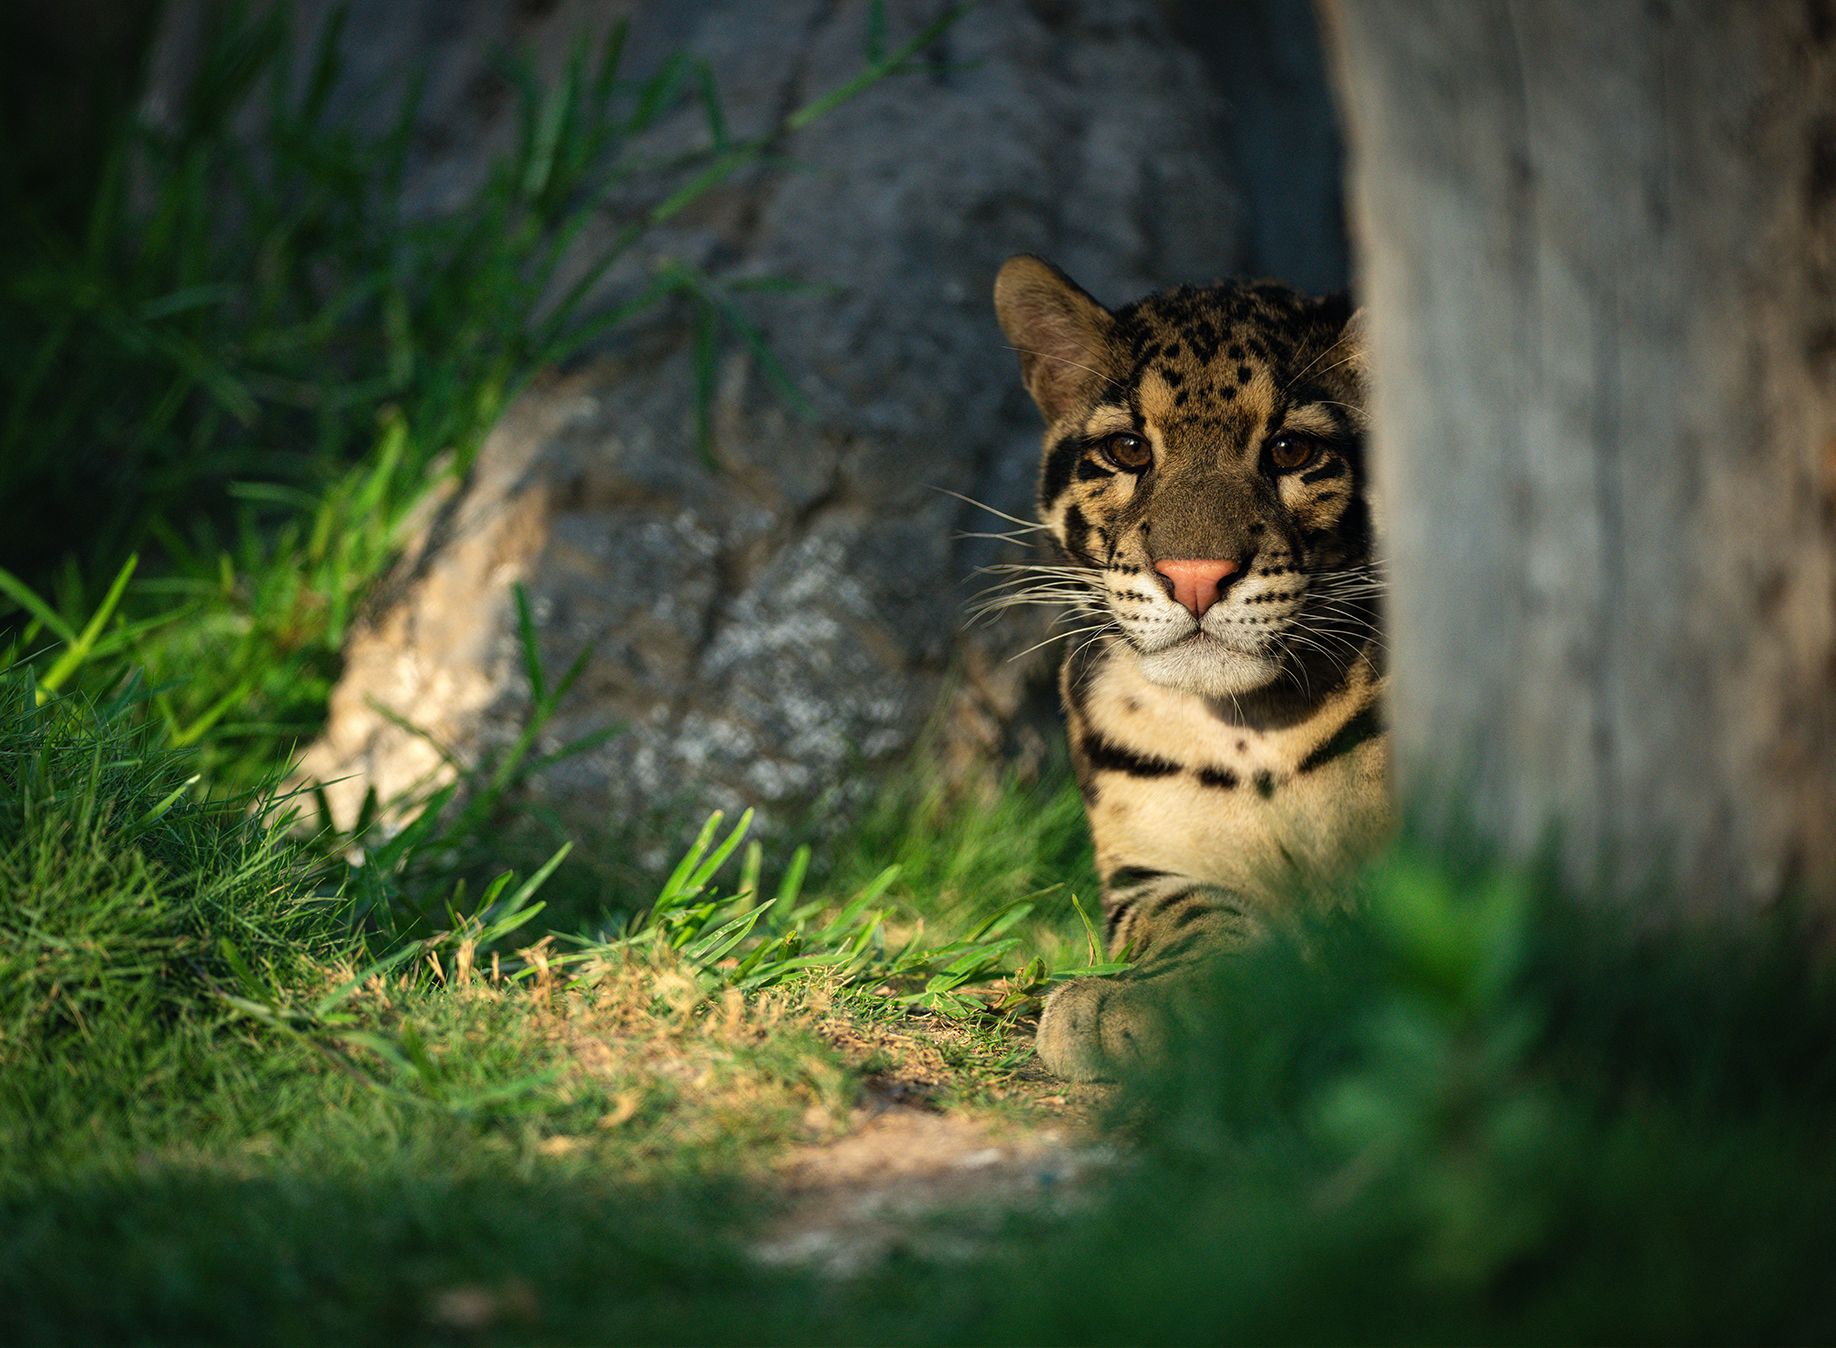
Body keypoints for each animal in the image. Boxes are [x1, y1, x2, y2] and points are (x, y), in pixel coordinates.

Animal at [990, 255, 1392, 1081]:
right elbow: (1189, 912)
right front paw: (1136, 1005)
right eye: (1128, 451)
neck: (1249, 730)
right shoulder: (1143, 866)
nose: (1196, 576)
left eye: (1291, 452)